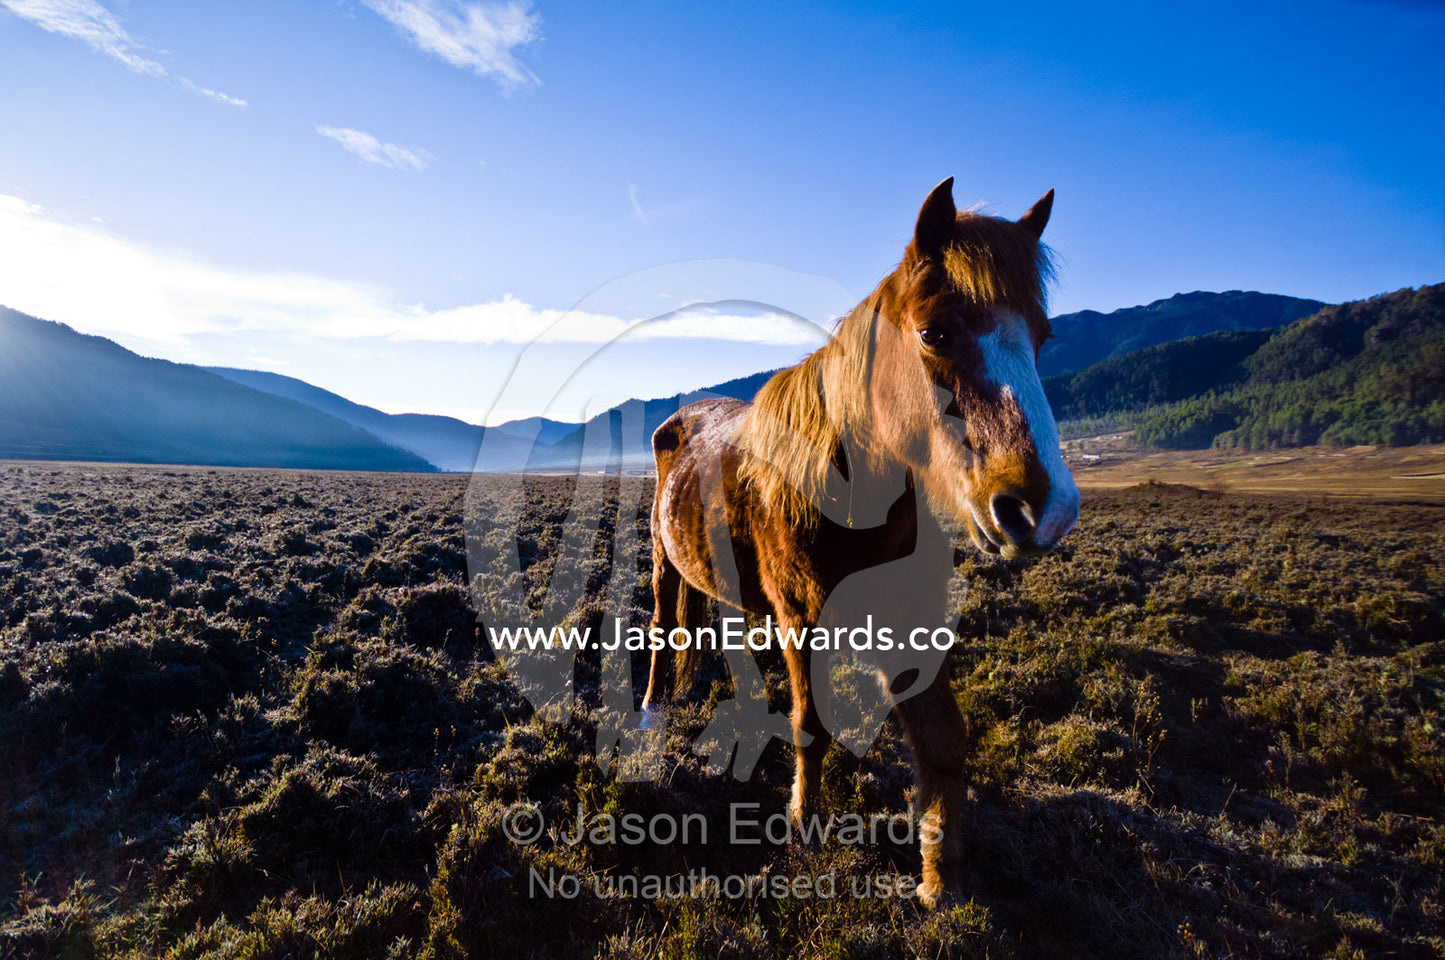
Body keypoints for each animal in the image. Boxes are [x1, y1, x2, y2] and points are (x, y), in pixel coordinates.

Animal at [639, 177, 1080, 906]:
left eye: (1042, 337)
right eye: (934, 331)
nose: (1044, 510)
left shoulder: (909, 621)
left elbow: (941, 740)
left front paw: (939, 880)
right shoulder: (800, 619)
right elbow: (809, 727)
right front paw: (804, 826)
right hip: (662, 562)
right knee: (659, 628)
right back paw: (651, 711)